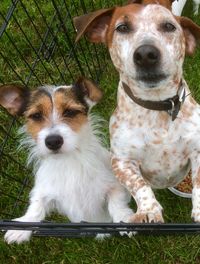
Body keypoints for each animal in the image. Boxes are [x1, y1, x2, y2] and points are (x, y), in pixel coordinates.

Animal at [0, 77, 134, 243]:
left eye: (70, 112)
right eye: (36, 116)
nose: (53, 141)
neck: (69, 159)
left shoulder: (114, 185)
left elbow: (116, 203)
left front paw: (124, 218)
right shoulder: (45, 190)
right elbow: (36, 205)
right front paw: (22, 226)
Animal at [74, 4, 200, 223]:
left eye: (169, 26)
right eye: (122, 28)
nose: (146, 54)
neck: (158, 107)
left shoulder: (198, 150)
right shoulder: (122, 162)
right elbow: (138, 184)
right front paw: (148, 210)